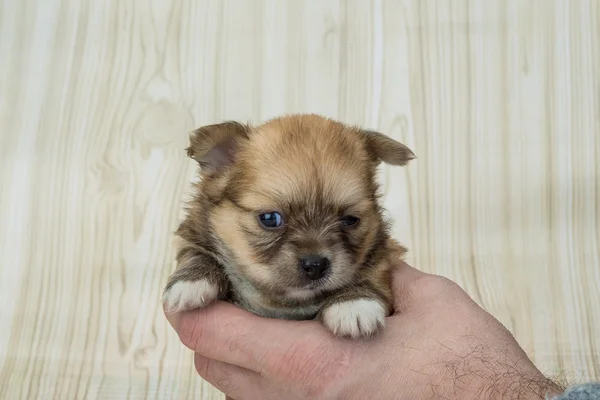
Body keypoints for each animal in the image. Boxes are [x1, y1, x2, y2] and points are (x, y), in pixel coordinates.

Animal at [165, 115, 418, 338]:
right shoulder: (191, 234)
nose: (316, 265)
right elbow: (196, 252)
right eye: (270, 218)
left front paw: (354, 303)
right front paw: (191, 281)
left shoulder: (385, 251)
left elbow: (374, 268)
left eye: (350, 220)